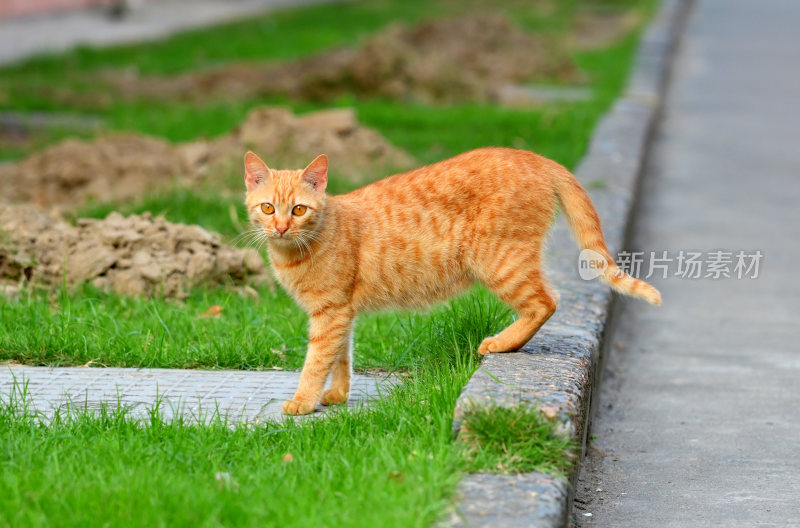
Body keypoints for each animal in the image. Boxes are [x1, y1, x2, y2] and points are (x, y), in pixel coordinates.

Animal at [242, 146, 656, 414]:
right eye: (268, 208)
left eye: (298, 209)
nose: (280, 227)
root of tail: (531, 155)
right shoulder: (341, 312)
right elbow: (341, 357)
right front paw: (338, 394)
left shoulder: (329, 313)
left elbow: (316, 362)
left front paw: (303, 401)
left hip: (500, 262)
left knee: (546, 301)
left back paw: (501, 343)